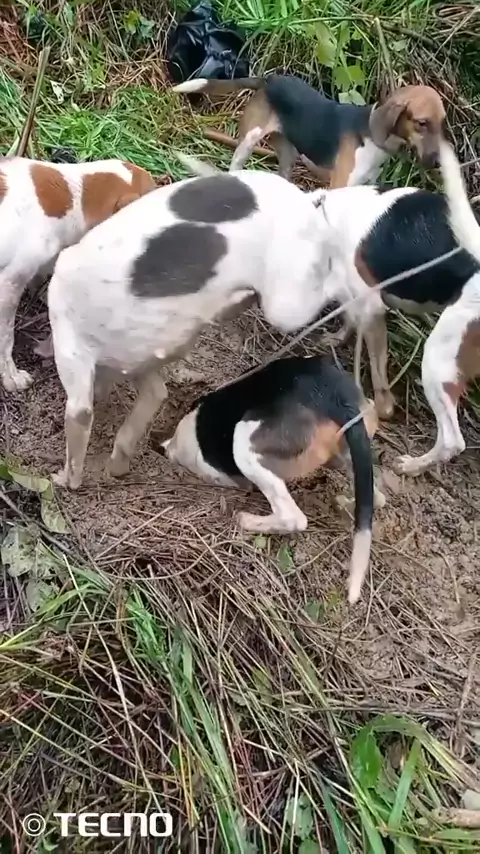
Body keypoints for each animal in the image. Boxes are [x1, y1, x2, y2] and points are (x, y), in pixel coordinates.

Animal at [47, 163, 333, 489]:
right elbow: (151, 402)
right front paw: (117, 468)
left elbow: (79, 424)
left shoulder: (75, 352)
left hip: (286, 303)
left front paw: (62, 480)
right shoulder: (140, 363)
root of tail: (304, 200)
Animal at [163, 355, 385, 604]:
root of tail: (337, 397)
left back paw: (247, 520)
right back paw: (345, 504)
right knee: (377, 498)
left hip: (244, 444)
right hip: (350, 454)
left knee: (293, 518)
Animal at [172, 74, 446, 186]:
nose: (437, 163)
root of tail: (269, 80)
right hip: (248, 142)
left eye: (442, 122)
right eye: (421, 123)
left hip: (288, 154)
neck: (369, 138)